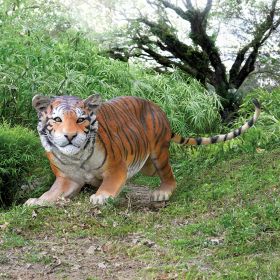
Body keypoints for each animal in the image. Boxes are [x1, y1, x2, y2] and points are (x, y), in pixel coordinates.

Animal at [24, 94, 260, 206]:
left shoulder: (116, 167)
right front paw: (37, 200)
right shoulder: (67, 178)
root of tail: (160, 110)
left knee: (169, 174)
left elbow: (110, 184)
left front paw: (101, 196)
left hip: (158, 154)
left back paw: (163, 192)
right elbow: (52, 193)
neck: (76, 158)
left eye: (81, 119)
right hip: (146, 164)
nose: (70, 136)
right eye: (57, 119)